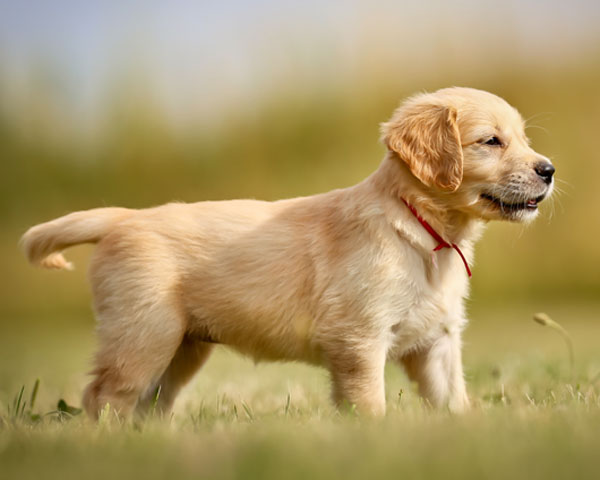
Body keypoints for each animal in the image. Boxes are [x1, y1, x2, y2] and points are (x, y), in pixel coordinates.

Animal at [21, 88, 556, 418]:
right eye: (491, 141)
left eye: (524, 139)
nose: (549, 170)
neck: (422, 230)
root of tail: (122, 218)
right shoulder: (358, 339)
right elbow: (370, 405)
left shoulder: (438, 342)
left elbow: (454, 403)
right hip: (142, 334)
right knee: (104, 396)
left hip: (181, 348)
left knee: (148, 405)